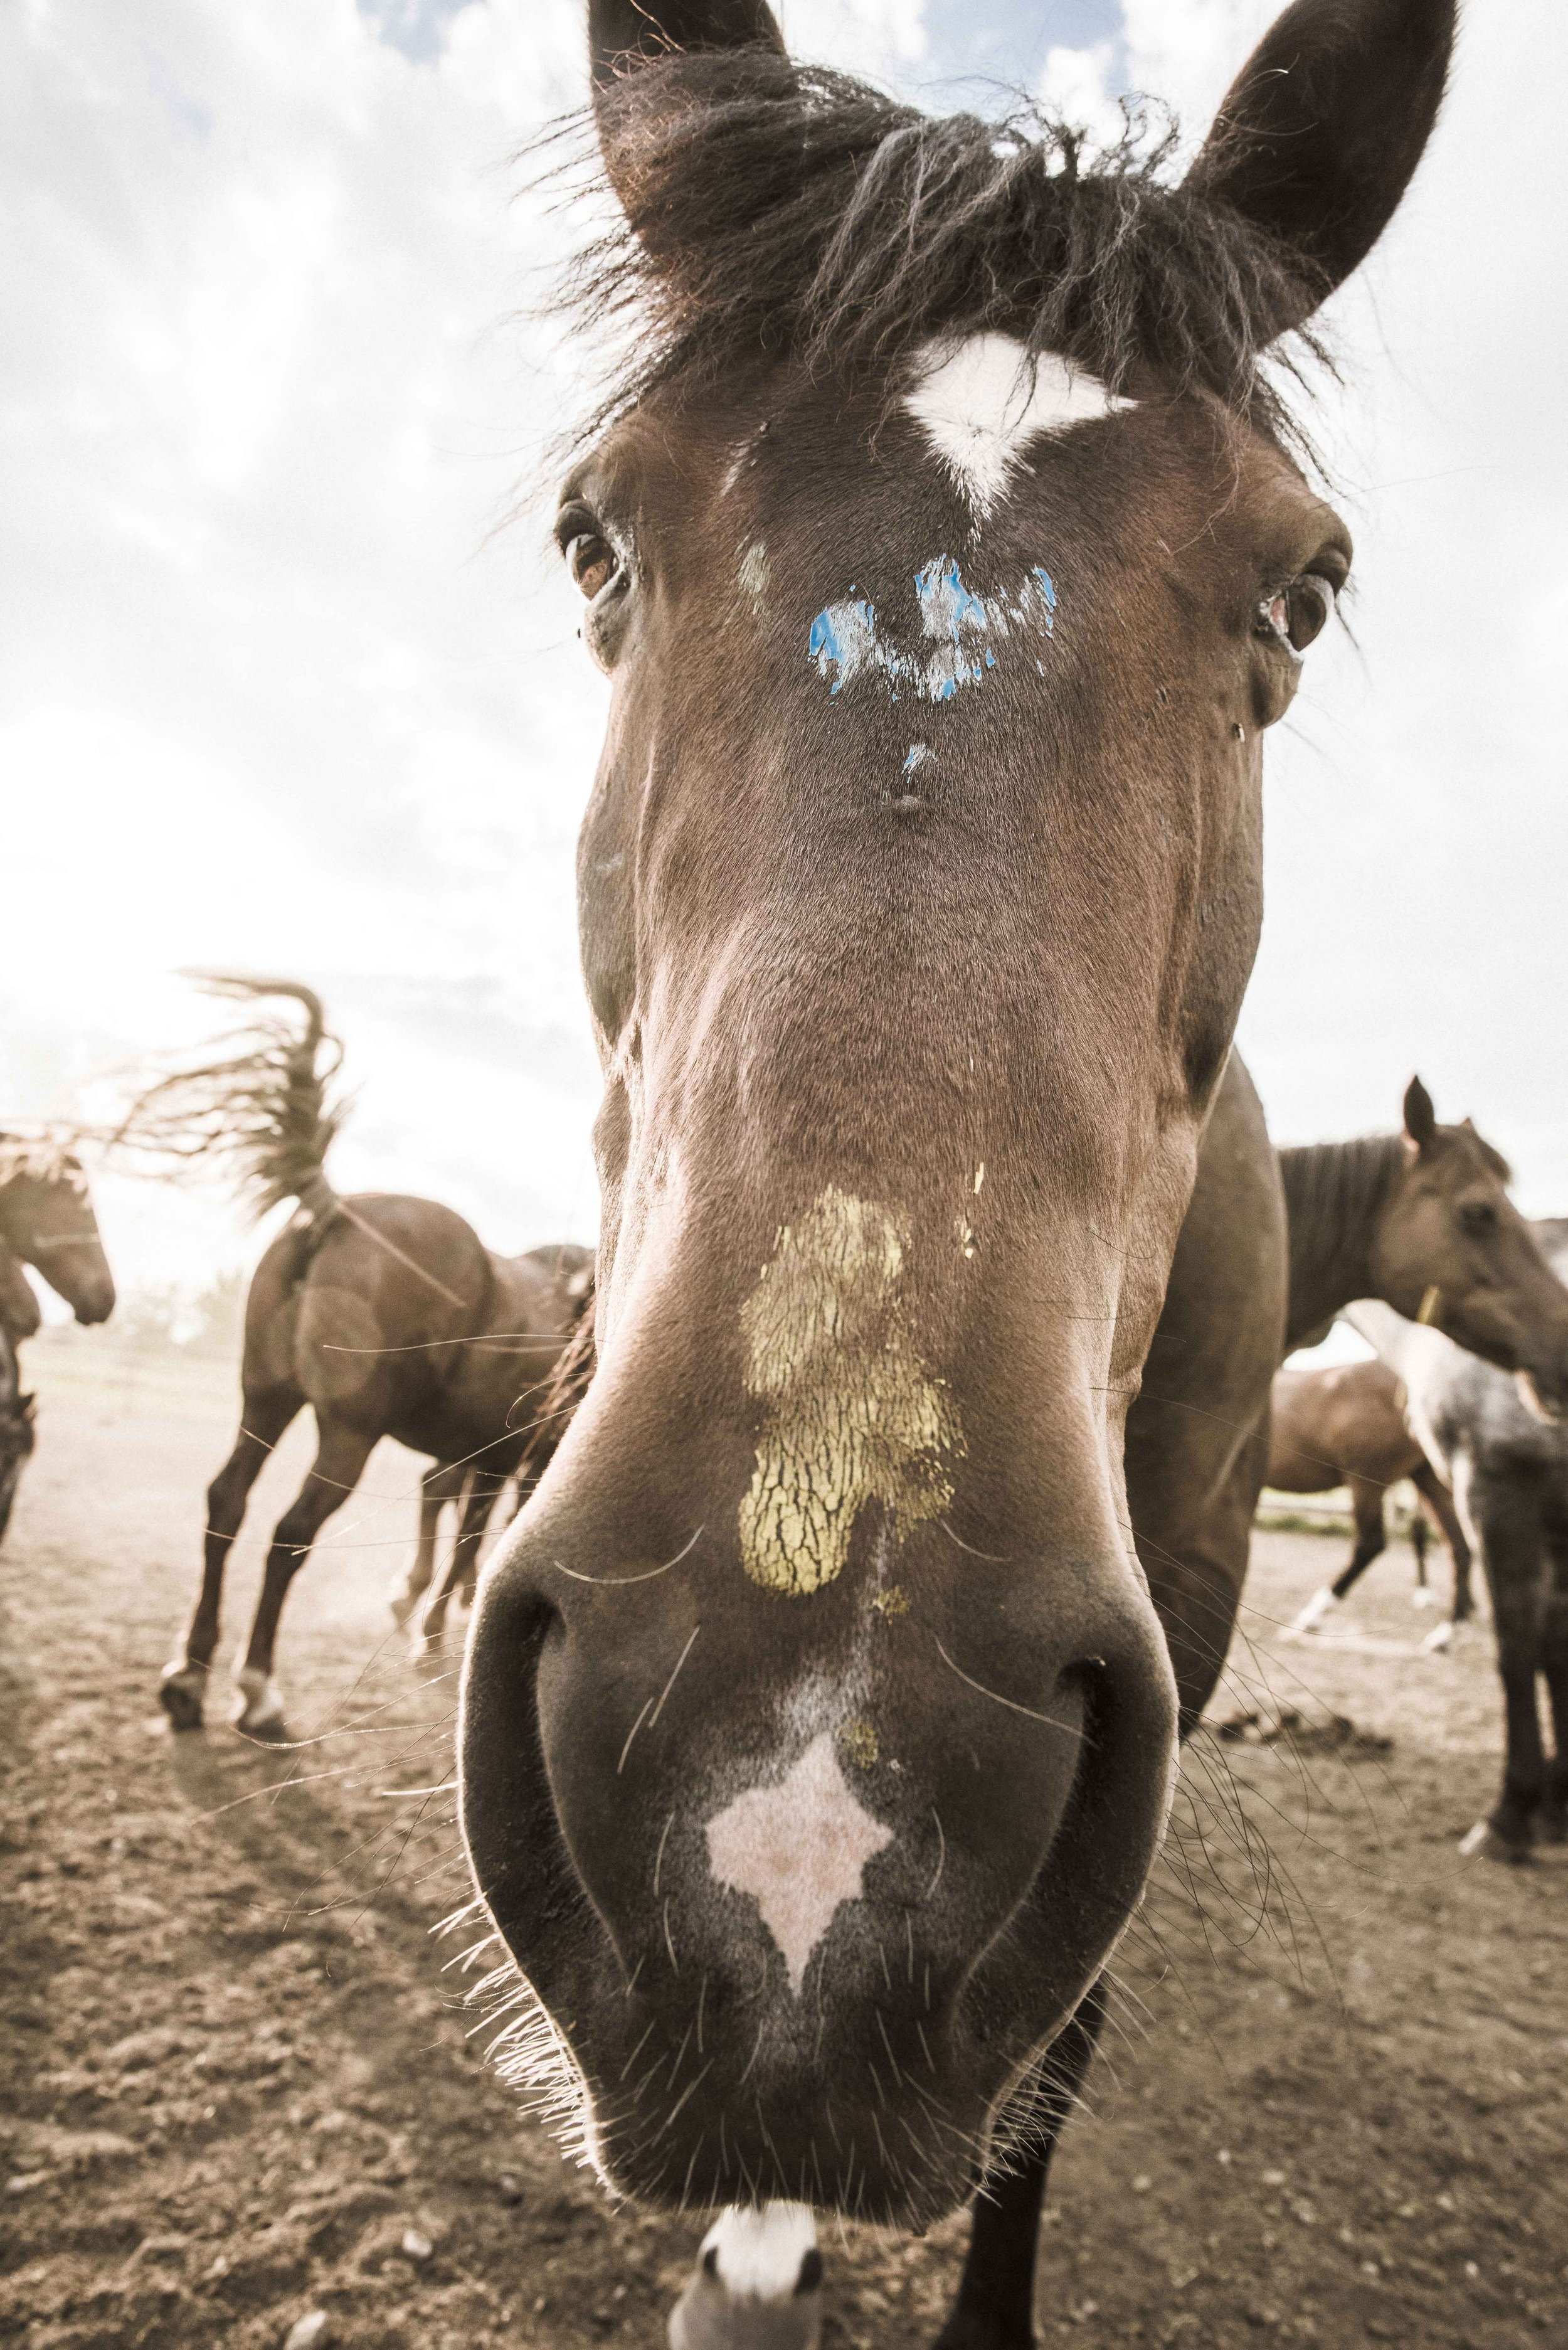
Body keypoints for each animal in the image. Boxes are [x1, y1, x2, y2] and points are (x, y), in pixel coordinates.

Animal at [110, 976, 592, 1737]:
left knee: (226, 1504)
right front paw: (433, 1630)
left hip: (266, 1403)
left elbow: (469, 1540)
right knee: (291, 1534)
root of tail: (336, 1208)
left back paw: (189, 1676)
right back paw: (258, 1686)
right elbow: (474, 1544)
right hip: (348, 1435)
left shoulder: (490, 1458)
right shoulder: (513, 1460)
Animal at [1267, 1357, 1473, 1635]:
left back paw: (1314, 1613)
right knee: (1459, 1547)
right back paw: (1448, 1631)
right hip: (1429, 1478)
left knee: (1371, 1545)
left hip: (1366, 1482)